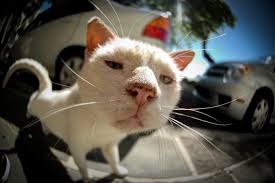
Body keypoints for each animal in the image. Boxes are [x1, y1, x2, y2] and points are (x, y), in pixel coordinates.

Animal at [2, 16, 196, 182]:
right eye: (113, 65)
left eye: (166, 79)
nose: (144, 90)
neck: (103, 128)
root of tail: (46, 90)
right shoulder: (77, 149)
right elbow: (83, 166)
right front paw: (88, 178)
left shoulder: (111, 145)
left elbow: (114, 160)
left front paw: (118, 172)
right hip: (35, 103)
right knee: (30, 103)